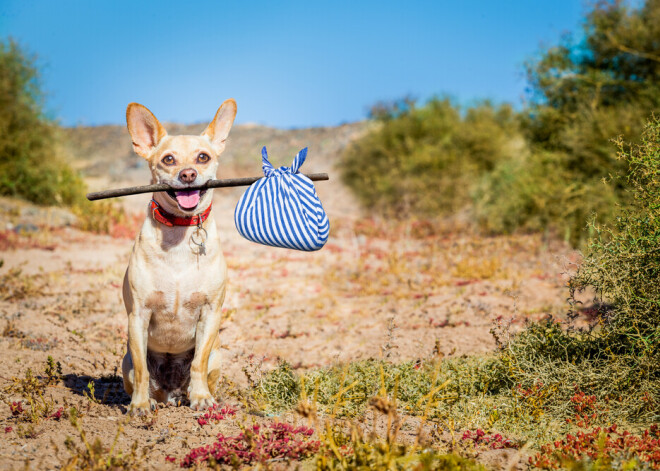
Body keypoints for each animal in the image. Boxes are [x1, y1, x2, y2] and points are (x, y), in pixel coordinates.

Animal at [120, 100, 236, 416]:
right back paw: (151, 400)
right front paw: (139, 405)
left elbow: (198, 362)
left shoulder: (210, 313)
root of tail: (170, 393)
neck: (180, 235)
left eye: (203, 157)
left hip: (218, 355)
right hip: (125, 362)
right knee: (144, 377)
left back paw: (192, 396)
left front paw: (201, 398)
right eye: (168, 159)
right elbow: (142, 369)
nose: (188, 174)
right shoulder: (138, 316)